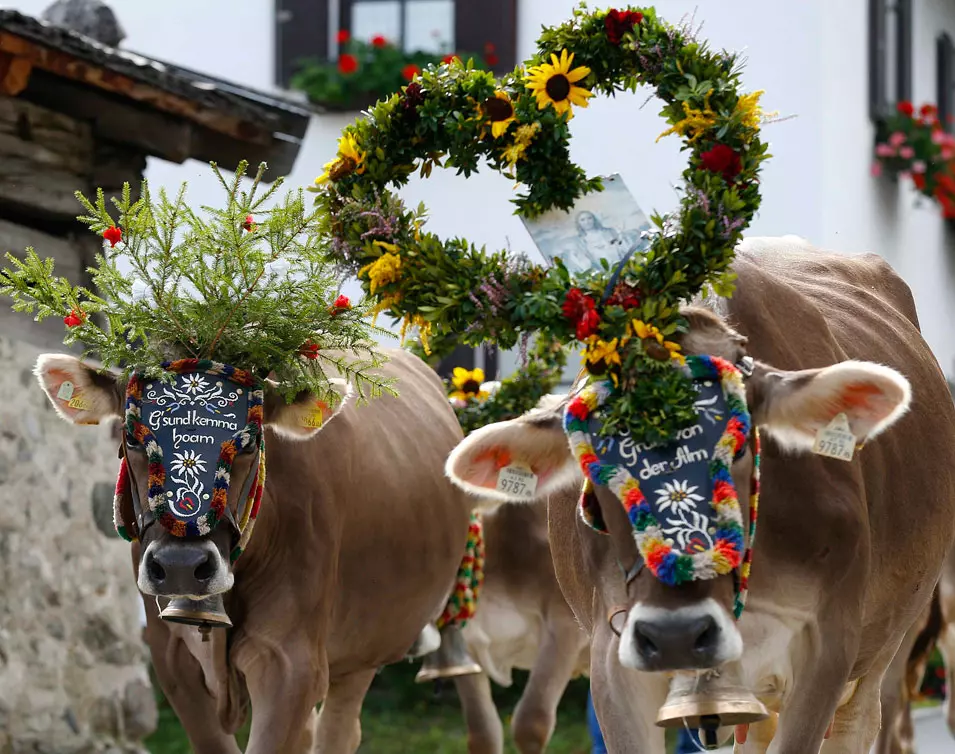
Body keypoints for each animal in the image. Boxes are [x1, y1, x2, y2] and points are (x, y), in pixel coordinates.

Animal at [32, 346, 500, 752]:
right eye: (132, 439)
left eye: (248, 443)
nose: (182, 565)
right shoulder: (173, 660)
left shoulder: (290, 662)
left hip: (367, 645)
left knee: (338, 731)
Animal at [440, 236, 955, 752]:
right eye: (593, 458)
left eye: (740, 441)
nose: (678, 634)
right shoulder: (611, 652)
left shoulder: (827, 647)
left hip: (882, 652)